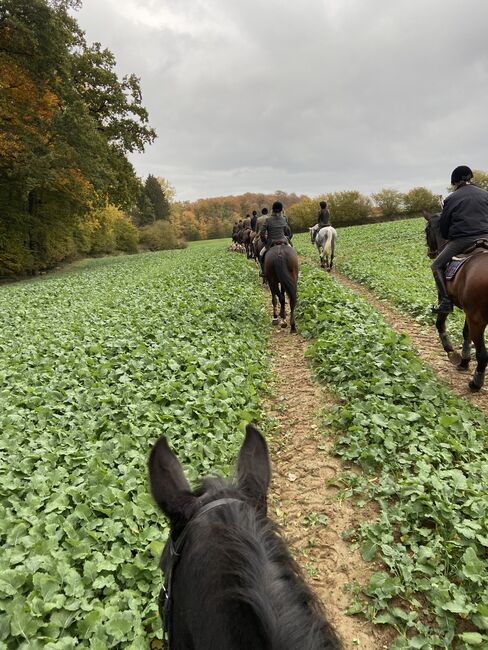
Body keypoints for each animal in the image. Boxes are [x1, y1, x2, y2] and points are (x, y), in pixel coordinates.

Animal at [424, 215, 488, 390]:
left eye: (426, 230)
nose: (430, 252)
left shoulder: (445, 301)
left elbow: (439, 324)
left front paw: (451, 352)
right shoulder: (468, 313)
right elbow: (466, 334)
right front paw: (464, 361)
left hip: (478, 321)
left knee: (482, 354)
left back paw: (476, 383)